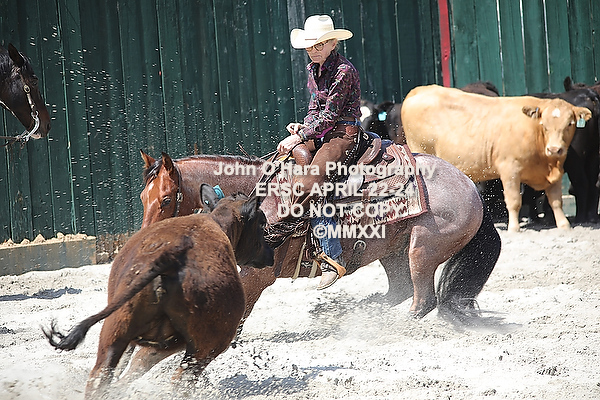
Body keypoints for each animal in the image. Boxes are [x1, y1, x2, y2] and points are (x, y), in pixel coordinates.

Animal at [43, 186, 274, 399]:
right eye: (261, 223)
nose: (272, 251)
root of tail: (171, 255)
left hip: (115, 331)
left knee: (101, 376)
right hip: (205, 349)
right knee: (179, 382)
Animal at [139, 148, 501, 323]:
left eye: (167, 200)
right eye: (143, 197)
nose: (148, 244)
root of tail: (469, 185)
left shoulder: (257, 275)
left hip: (421, 250)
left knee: (423, 300)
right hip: (393, 251)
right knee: (398, 290)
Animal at [401, 84, 592, 232]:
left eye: (570, 124)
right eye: (544, 125)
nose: (554, 149)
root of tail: (419, 90)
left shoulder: (554, 173)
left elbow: (556, 200)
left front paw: (563, 225)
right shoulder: (510, 170)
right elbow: (514, 201)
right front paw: (514, 228)